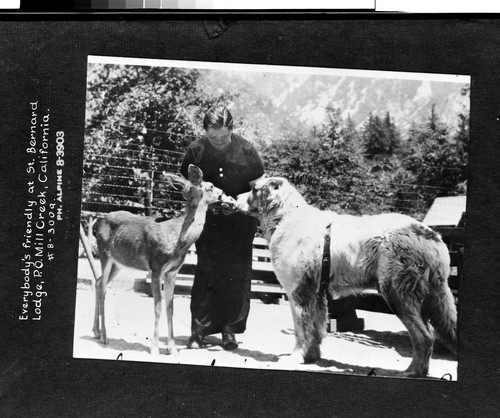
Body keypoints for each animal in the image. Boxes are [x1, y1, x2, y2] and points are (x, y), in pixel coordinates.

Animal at [92, 164, 225, 356]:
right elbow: (158, 306)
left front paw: (172, 348)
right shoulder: (155, 267)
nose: (223, 193)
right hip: (105, 254)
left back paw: (95, 331)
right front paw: (154, 348)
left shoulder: (172, 272)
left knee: (97, 282)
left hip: (119, 263)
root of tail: (95, 225)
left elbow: (170, 307)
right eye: (211, 186)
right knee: (102, 289)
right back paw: (104, 336)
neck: (179, 239)